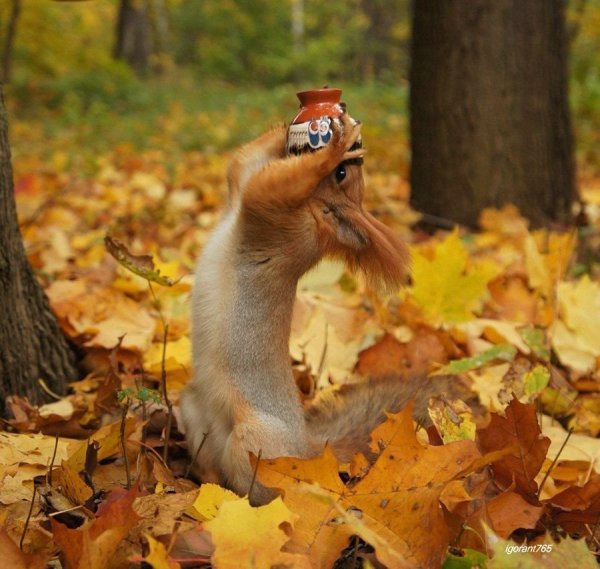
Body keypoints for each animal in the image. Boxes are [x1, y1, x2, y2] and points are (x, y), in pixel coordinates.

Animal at [178, 111, 454, 502]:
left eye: (341, 175)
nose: (352, 153)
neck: (314, 212)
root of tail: (308, 452)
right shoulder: (247, 181)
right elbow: (241, 160)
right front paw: (291, 127)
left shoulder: (273, 212)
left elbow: (280, 182)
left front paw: (331, 146)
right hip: (191, 407)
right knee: (209, 465)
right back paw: (198, 483)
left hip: (252, 444)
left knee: (264, 490)